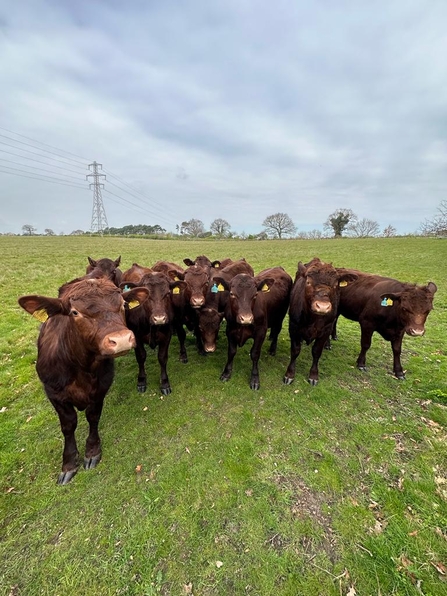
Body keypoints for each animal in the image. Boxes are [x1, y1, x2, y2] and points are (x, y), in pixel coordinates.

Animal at [18, 278, 149, 484]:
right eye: (74, 312)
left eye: (123, 304)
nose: (121, 339)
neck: (80, 365)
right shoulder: (53, 393)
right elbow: (68, 425)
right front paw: (69, 464)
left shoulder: (101, 387)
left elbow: (93, 416)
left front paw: (92, 452)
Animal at [286, 258, 358, 386]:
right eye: (308, 282)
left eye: (335, 285)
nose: (322, 307)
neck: (312, 318)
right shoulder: (294, 326)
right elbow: (295, 350)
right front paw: (289, 374)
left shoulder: (325, 330)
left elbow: (316, 351)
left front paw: (313, 375)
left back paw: (328, 344)